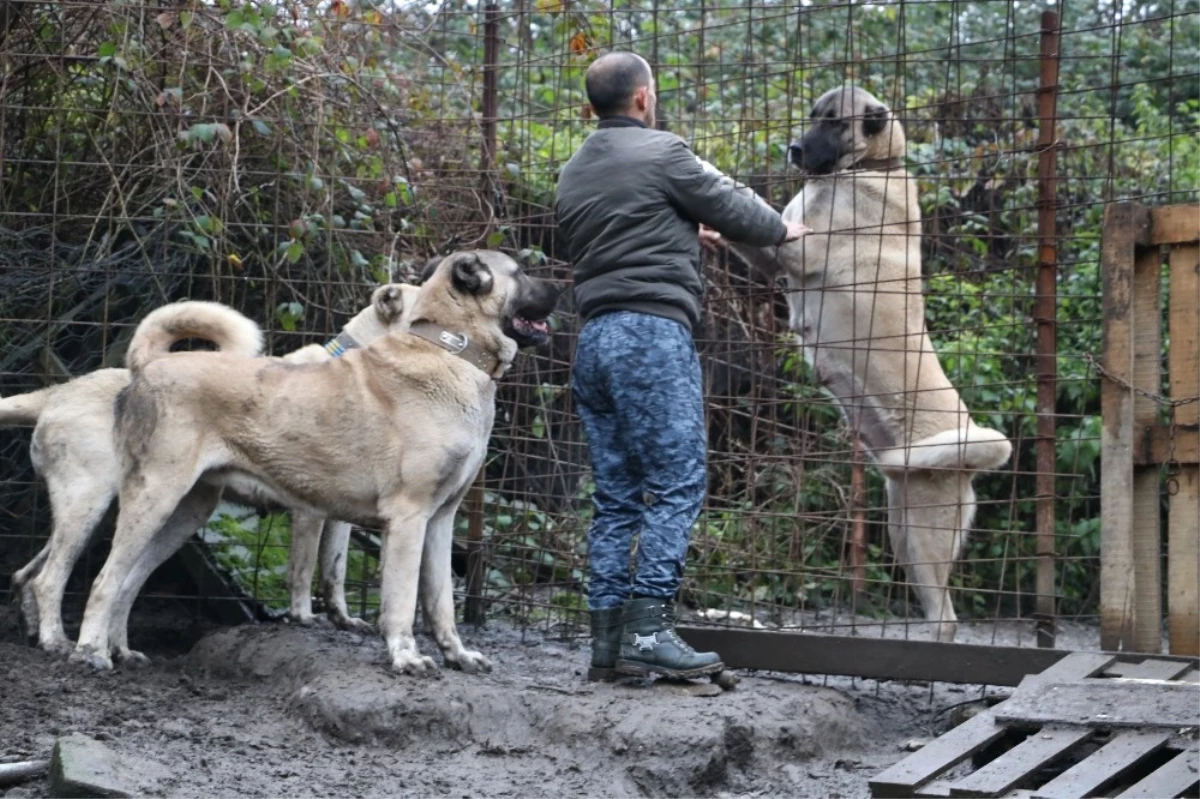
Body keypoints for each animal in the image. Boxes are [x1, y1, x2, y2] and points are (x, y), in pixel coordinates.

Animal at [3, 283, 422, 652]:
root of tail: (56, 394)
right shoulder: (309, 513)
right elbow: (303, 571)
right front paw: (304, 617)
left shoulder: (339, 518)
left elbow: (334, 571)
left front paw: (344, 619)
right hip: (91, 504)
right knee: (50, 578)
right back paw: (56, 641)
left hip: (102, 516)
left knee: (29, 573)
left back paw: (38, 633)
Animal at [72, 250, 559, 671]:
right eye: (520, 272)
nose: (561, 286)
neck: (452, 348)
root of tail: (147, 367)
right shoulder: (408, 517)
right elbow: (401, 599)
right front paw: (405, 657)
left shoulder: (440, 521)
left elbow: (441, 601)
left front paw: (457, 655)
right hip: (153, 498)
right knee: (104, 580)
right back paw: (90, 652)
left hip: (185, 512)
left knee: (130, 581)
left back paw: (121, 650)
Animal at [705, 86, 1017, 638]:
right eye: (812, 117)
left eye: (835, 122)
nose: (794, 149)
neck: (868, 167)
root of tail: (970, 451)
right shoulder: (774, 252)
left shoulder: (800, 248)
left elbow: (747, 199)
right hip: (903, 528)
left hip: (925, 534)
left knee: (947, 618)